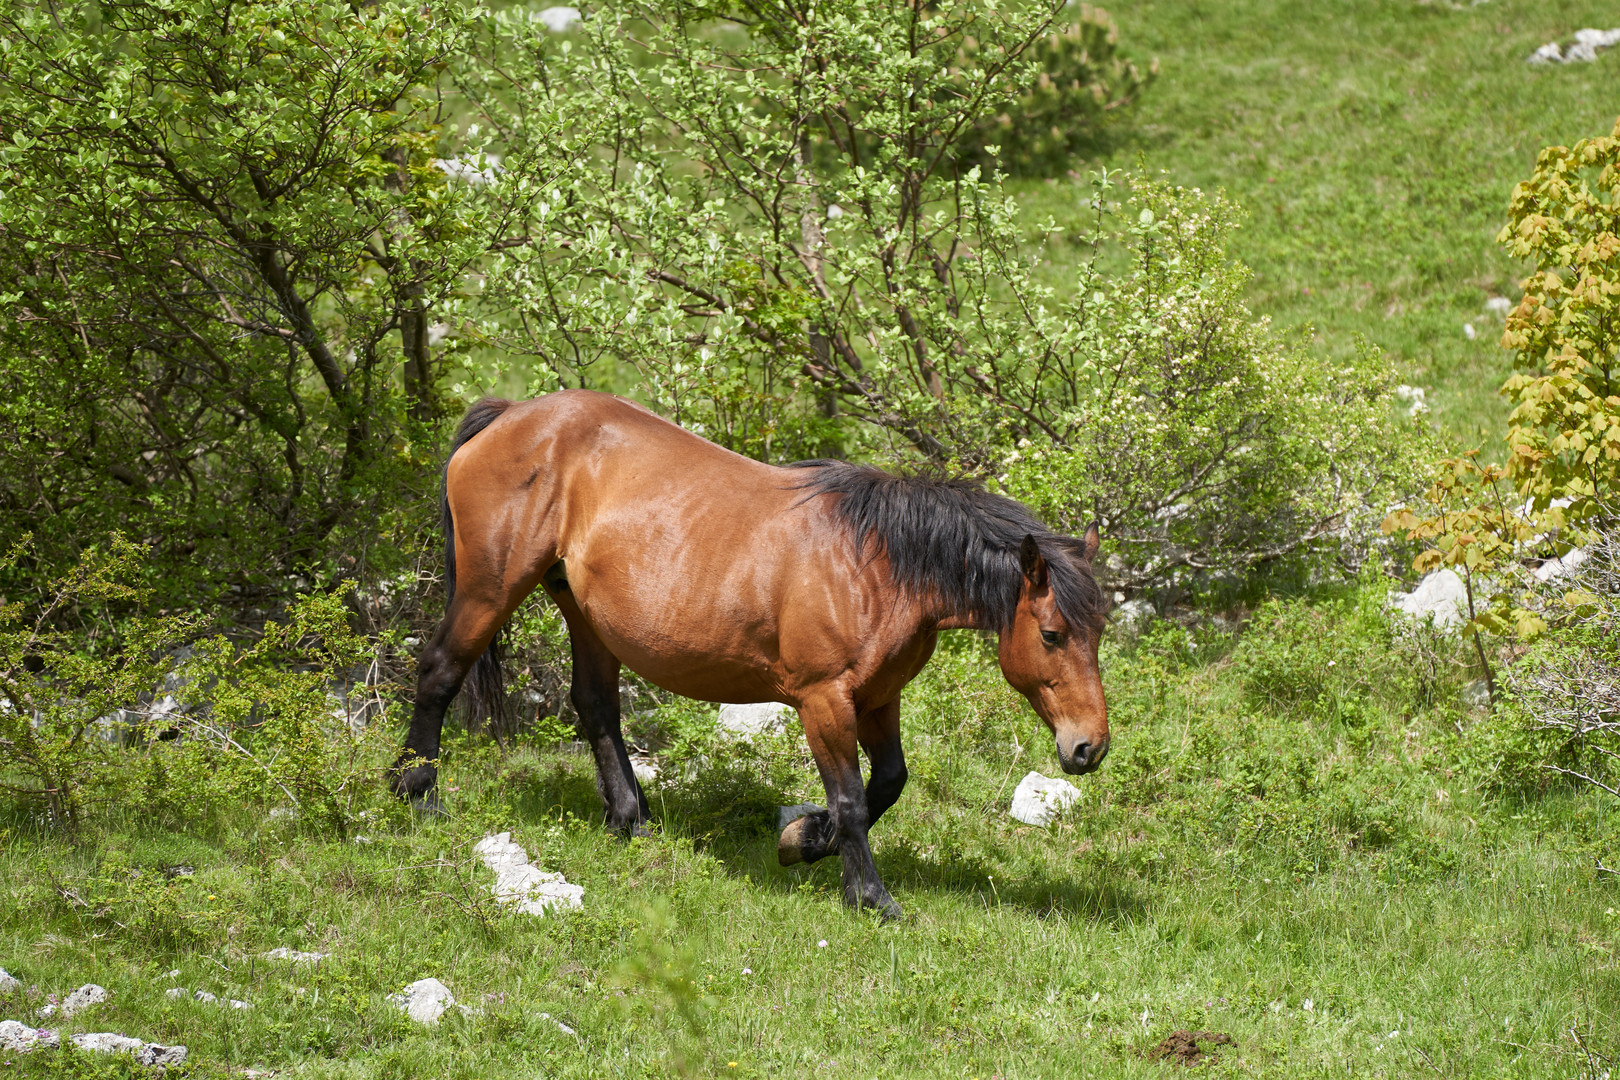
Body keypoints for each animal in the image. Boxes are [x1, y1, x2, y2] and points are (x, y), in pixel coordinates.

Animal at [393, 393, 1108, 919]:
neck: (875, 566)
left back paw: (629, 820)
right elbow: (851, 799)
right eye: (1052, 634)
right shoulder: (824, 701)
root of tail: (511, 414)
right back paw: (418, 794)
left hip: (584, 614)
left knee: (595, 707)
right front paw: (869, 896)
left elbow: (887, 783)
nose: (1089, 747)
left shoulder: (879, 698)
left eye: (1097, 632)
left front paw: (803, 842)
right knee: (440, 674)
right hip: (490, 590)